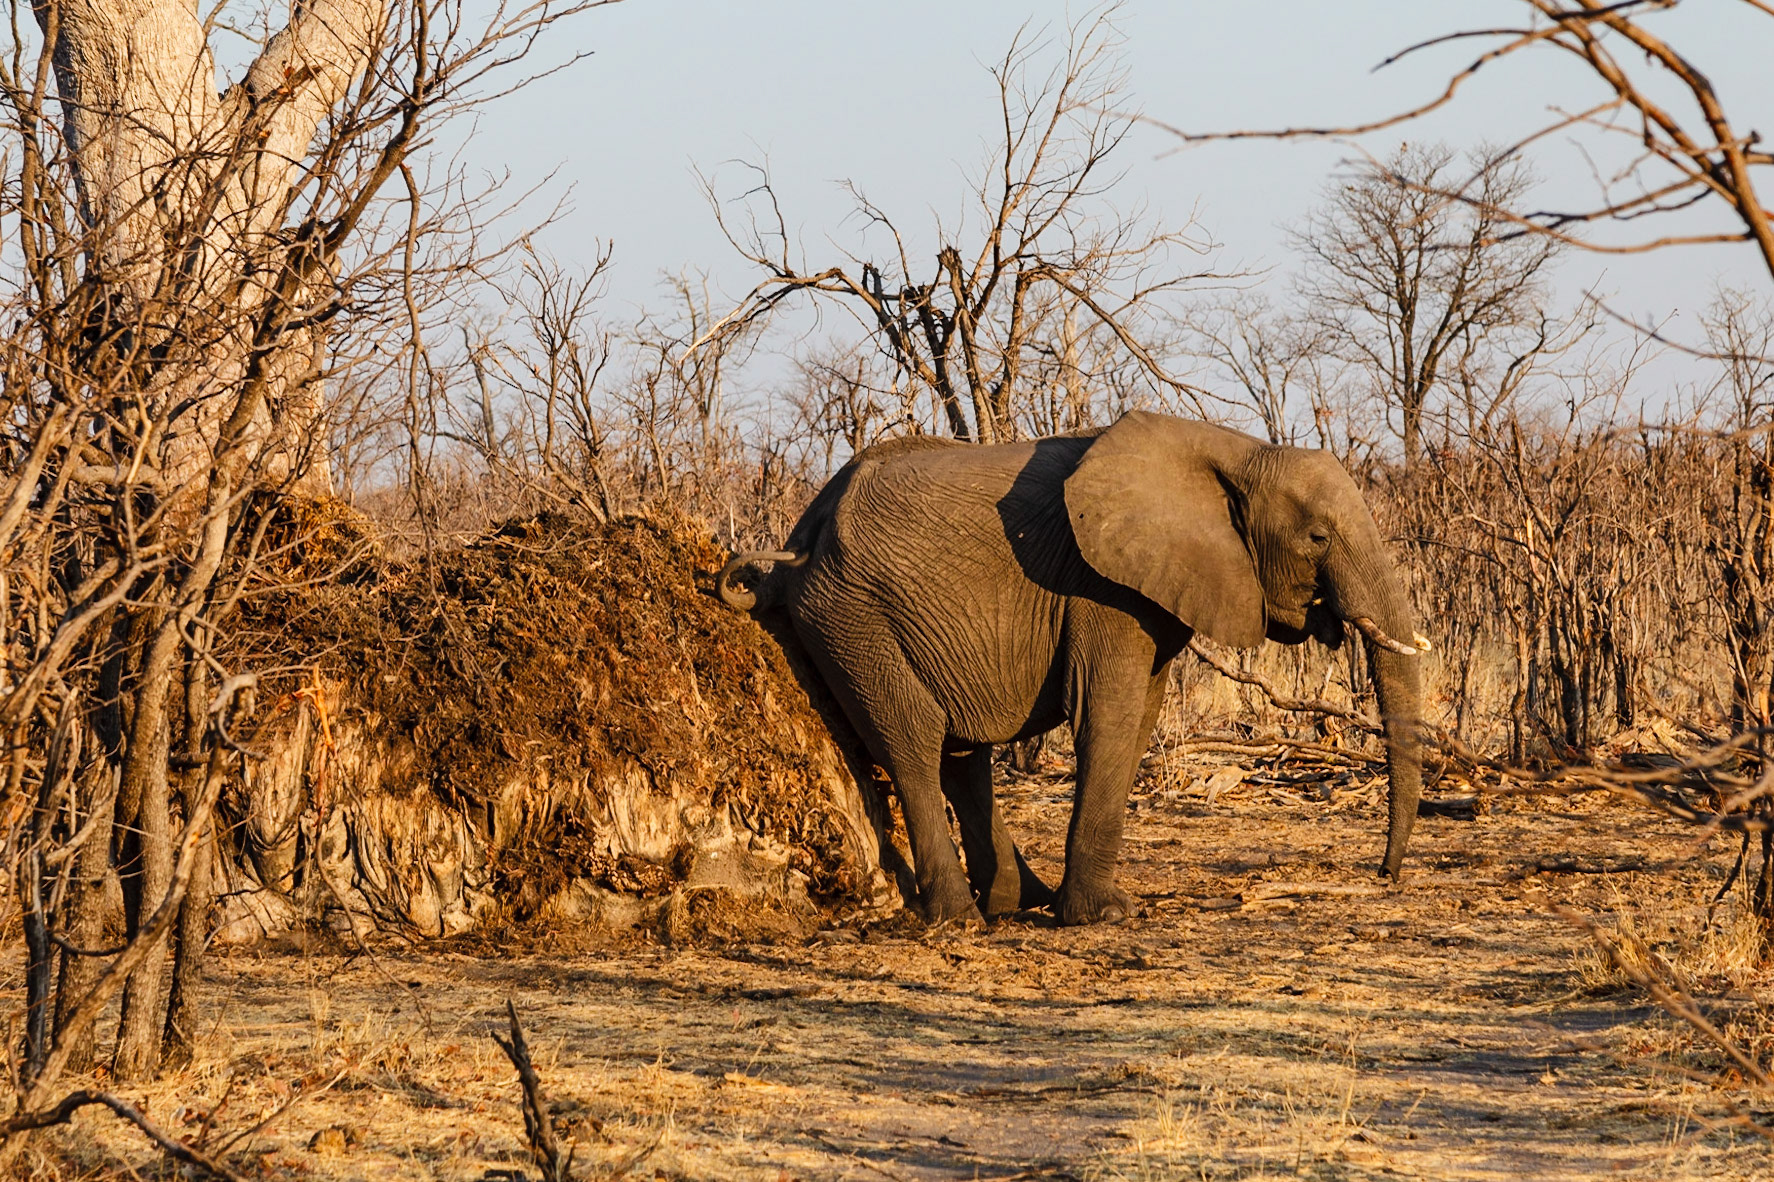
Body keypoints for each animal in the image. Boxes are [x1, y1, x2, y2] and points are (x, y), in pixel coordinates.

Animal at [718, 410, 1427, 926]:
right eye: (1317, 539)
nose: (1384, 875)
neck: (1234, 449)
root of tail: (800, 538)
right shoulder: (1098, 586)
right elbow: (1106, 717)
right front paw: (1103, 915)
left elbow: (1138, 720)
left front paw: (1083, 908)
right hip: (852, 617)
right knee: (912, 737)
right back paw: (959, 918)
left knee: (960, 753)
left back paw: (1016, 901)